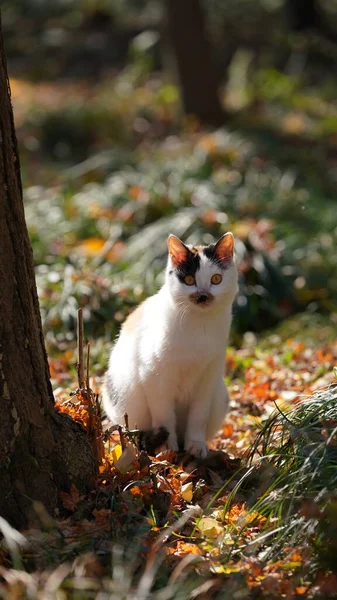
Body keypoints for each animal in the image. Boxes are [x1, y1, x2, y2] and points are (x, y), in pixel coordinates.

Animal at [103, 232, 238, 458]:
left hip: (220, 395)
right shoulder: (155, 377)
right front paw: (166, 448)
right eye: (189, 280)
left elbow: (198, 416)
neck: (198, 326)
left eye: (216, 279)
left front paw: (196, 445)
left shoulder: (208, 378)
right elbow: (164, 416)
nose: (203, 296)